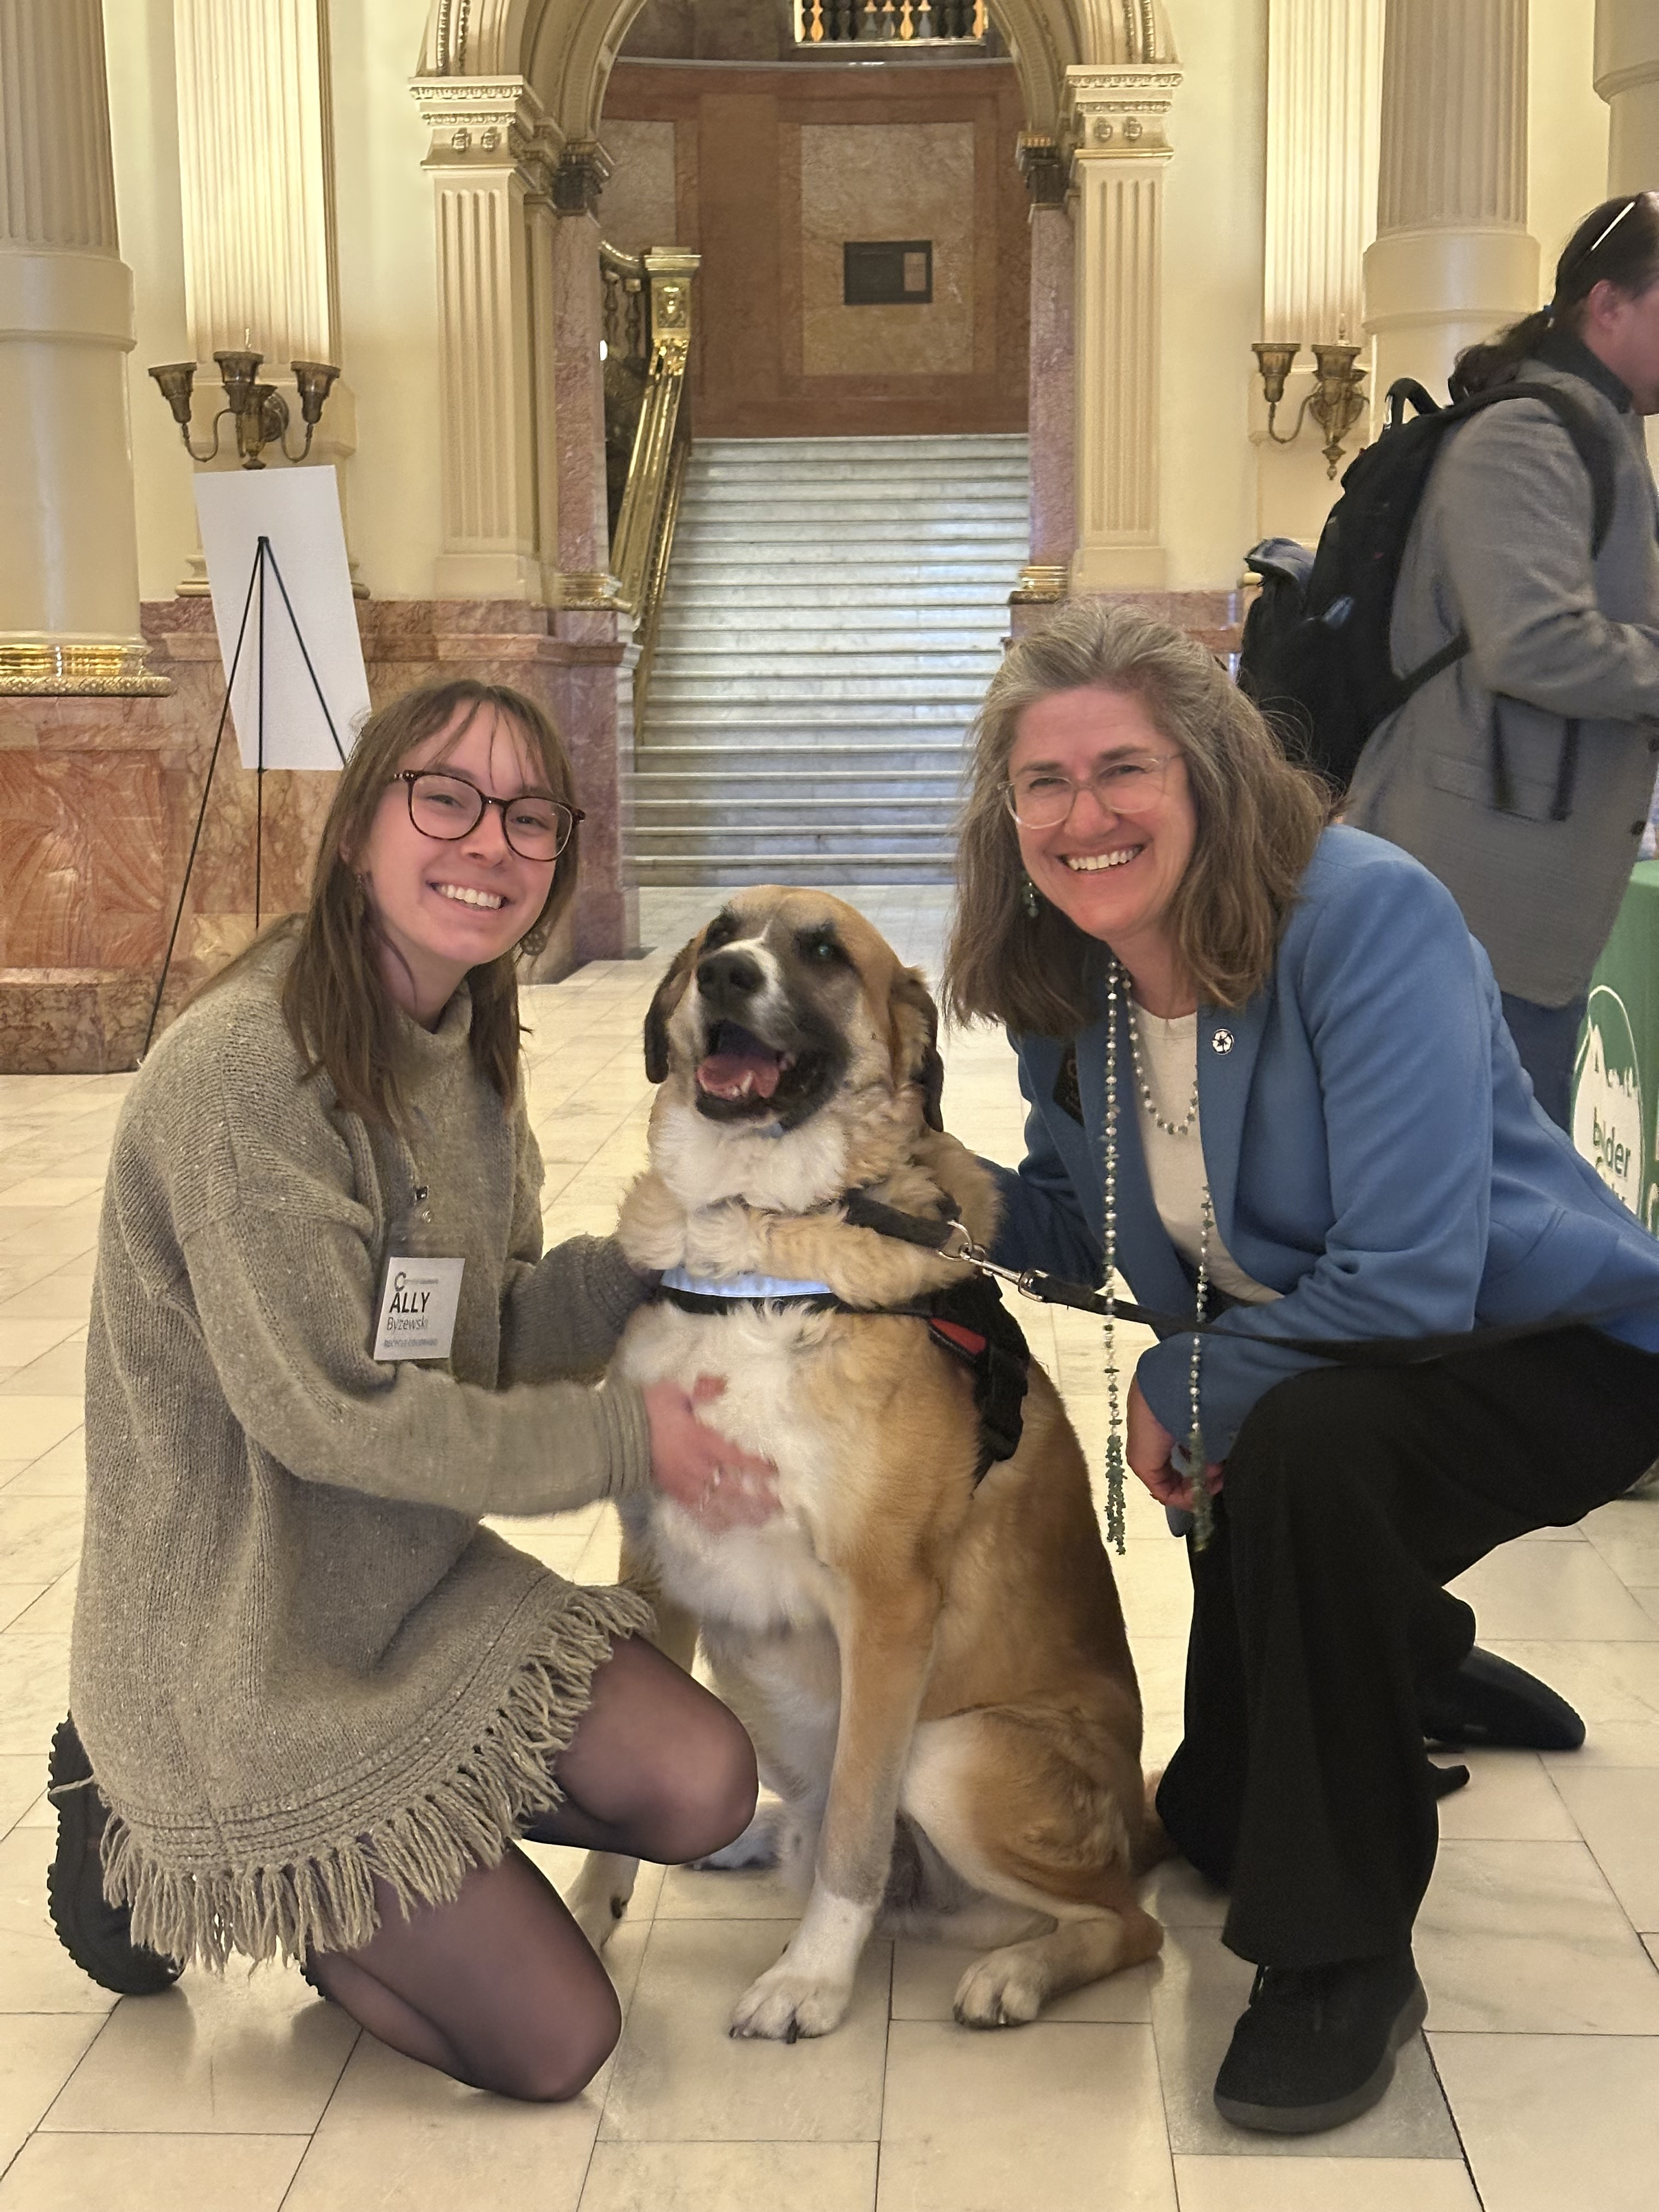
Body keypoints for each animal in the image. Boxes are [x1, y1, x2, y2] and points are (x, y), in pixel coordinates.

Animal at [571, 880, 1167, 2035]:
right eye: (718, 936)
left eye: (820, 952)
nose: (726, 977)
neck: (759, 1244)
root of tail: (1142, 1819)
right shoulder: (654, 1564)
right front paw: (582, 1920)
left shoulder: (887, 1606)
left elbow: (855, 1826)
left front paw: (810, 1979)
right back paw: (750, 1834)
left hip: (954, 1754)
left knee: (1126, 1921)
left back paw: (1019, 1972)